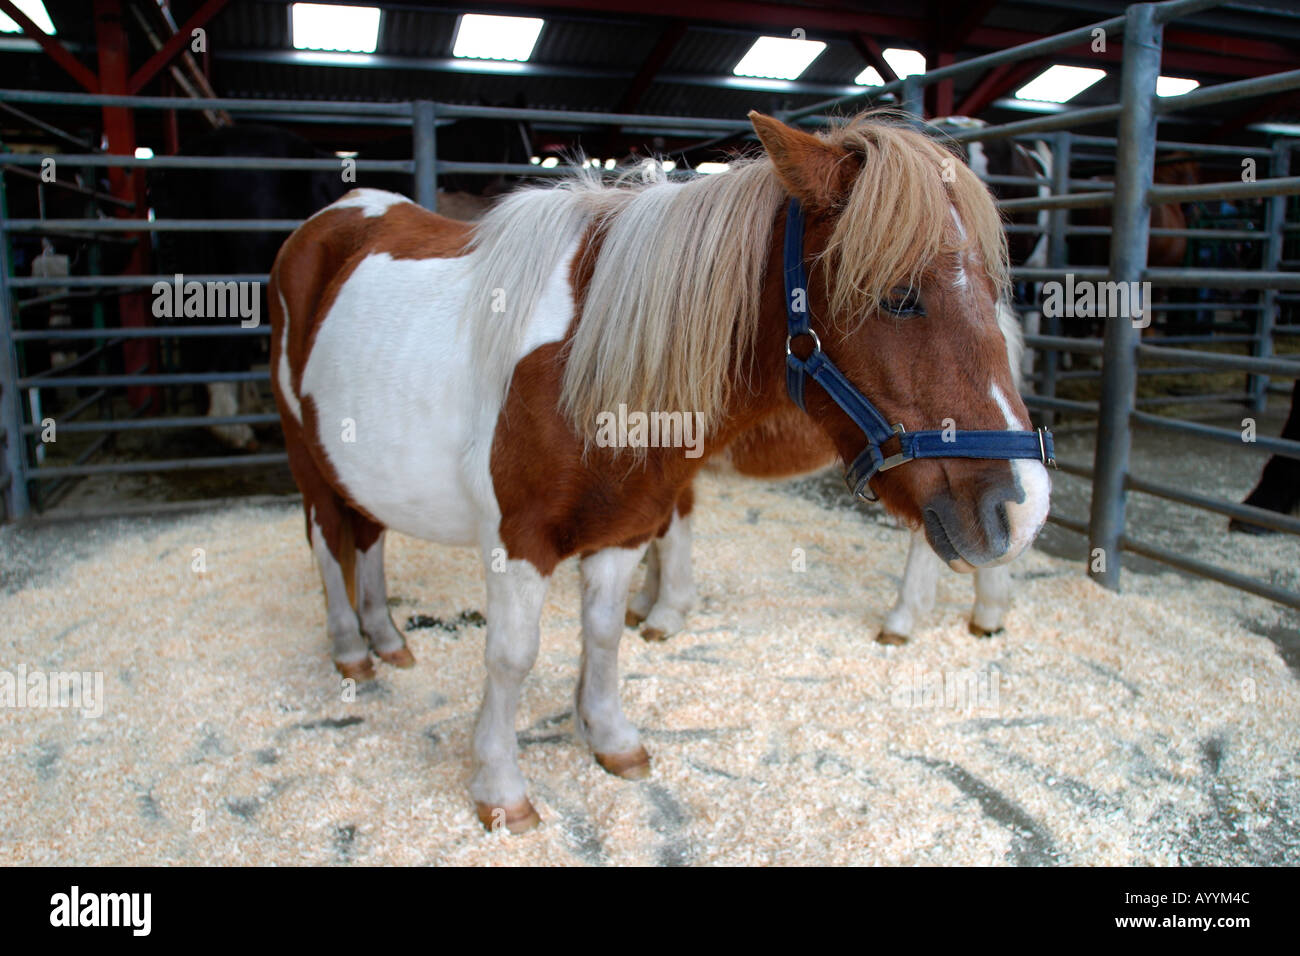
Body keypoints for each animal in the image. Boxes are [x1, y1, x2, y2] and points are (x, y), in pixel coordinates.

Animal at [269, 110, 1050, 832]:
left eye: (992, 284)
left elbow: (606, 634)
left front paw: (610, 737)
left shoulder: (623, 529)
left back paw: (388, 640)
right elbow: (512, 657)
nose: (1024, 507)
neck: (585, 366)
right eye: (898, 295)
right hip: (306, 456)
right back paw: (352, 650)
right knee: (326, 541)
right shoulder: (518, 542)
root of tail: (329, 220)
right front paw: (500, 789)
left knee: (367, 537)